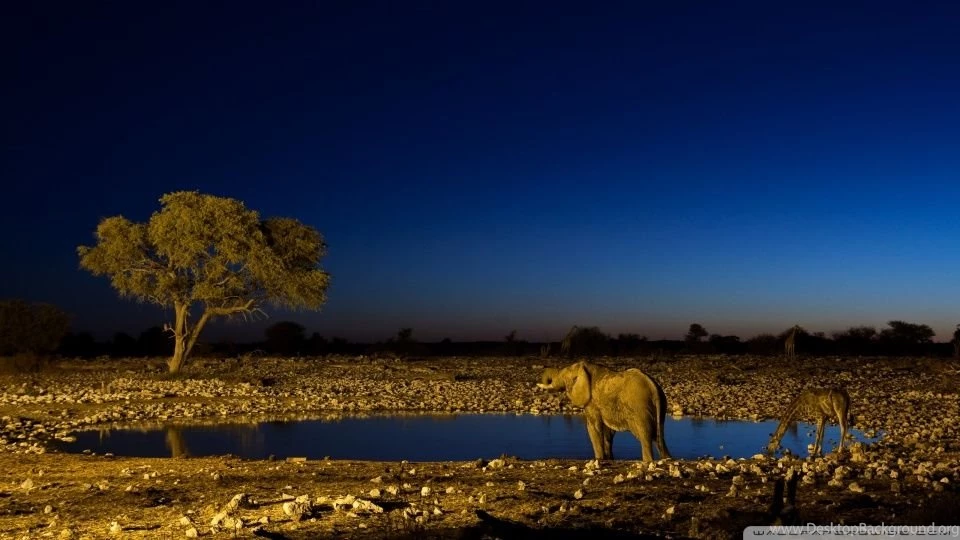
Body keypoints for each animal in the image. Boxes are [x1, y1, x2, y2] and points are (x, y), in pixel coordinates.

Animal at [536, 360, 671, 462]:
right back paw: (667, 459)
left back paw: (648, 461)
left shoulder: (592, 402)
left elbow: (593, 428)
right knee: (659, 436)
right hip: (661, 406)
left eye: (564, 377)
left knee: (645, 436)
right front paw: (608, 459)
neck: (585, 367)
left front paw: (599, 459)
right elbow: (608, 432)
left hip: (640, 408)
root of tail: (654, 388)